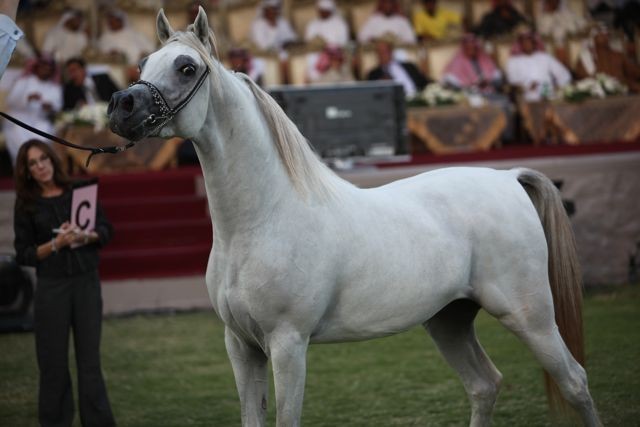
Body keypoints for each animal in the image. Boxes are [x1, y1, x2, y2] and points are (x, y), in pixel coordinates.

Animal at [107, 8, 601, 427]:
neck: (261, 221)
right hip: (449, 319)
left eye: (186, 67)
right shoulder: (241, 346)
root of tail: (507, 177)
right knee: (485, 385)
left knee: (576, 382)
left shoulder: (288, 344)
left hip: (530, 316)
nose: (120, 107)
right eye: (143, 64)